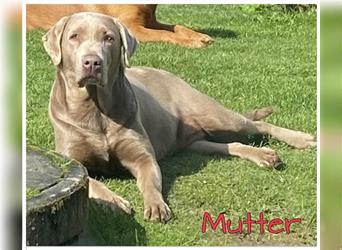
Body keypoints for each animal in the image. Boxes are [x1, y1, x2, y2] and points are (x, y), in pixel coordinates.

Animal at [44, 11, 316, 223]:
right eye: (74, 37)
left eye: (109, 38)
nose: (92, 62)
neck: (95, 110)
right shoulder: (71, 160)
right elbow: (91, 181)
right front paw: (114, 200)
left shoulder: (142, 156)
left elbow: (150, 180)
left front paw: (156, 205)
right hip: (196, 140)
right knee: (230, 144)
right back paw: (263, 156)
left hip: (215, 115)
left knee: (257, 124)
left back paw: (300, 139)